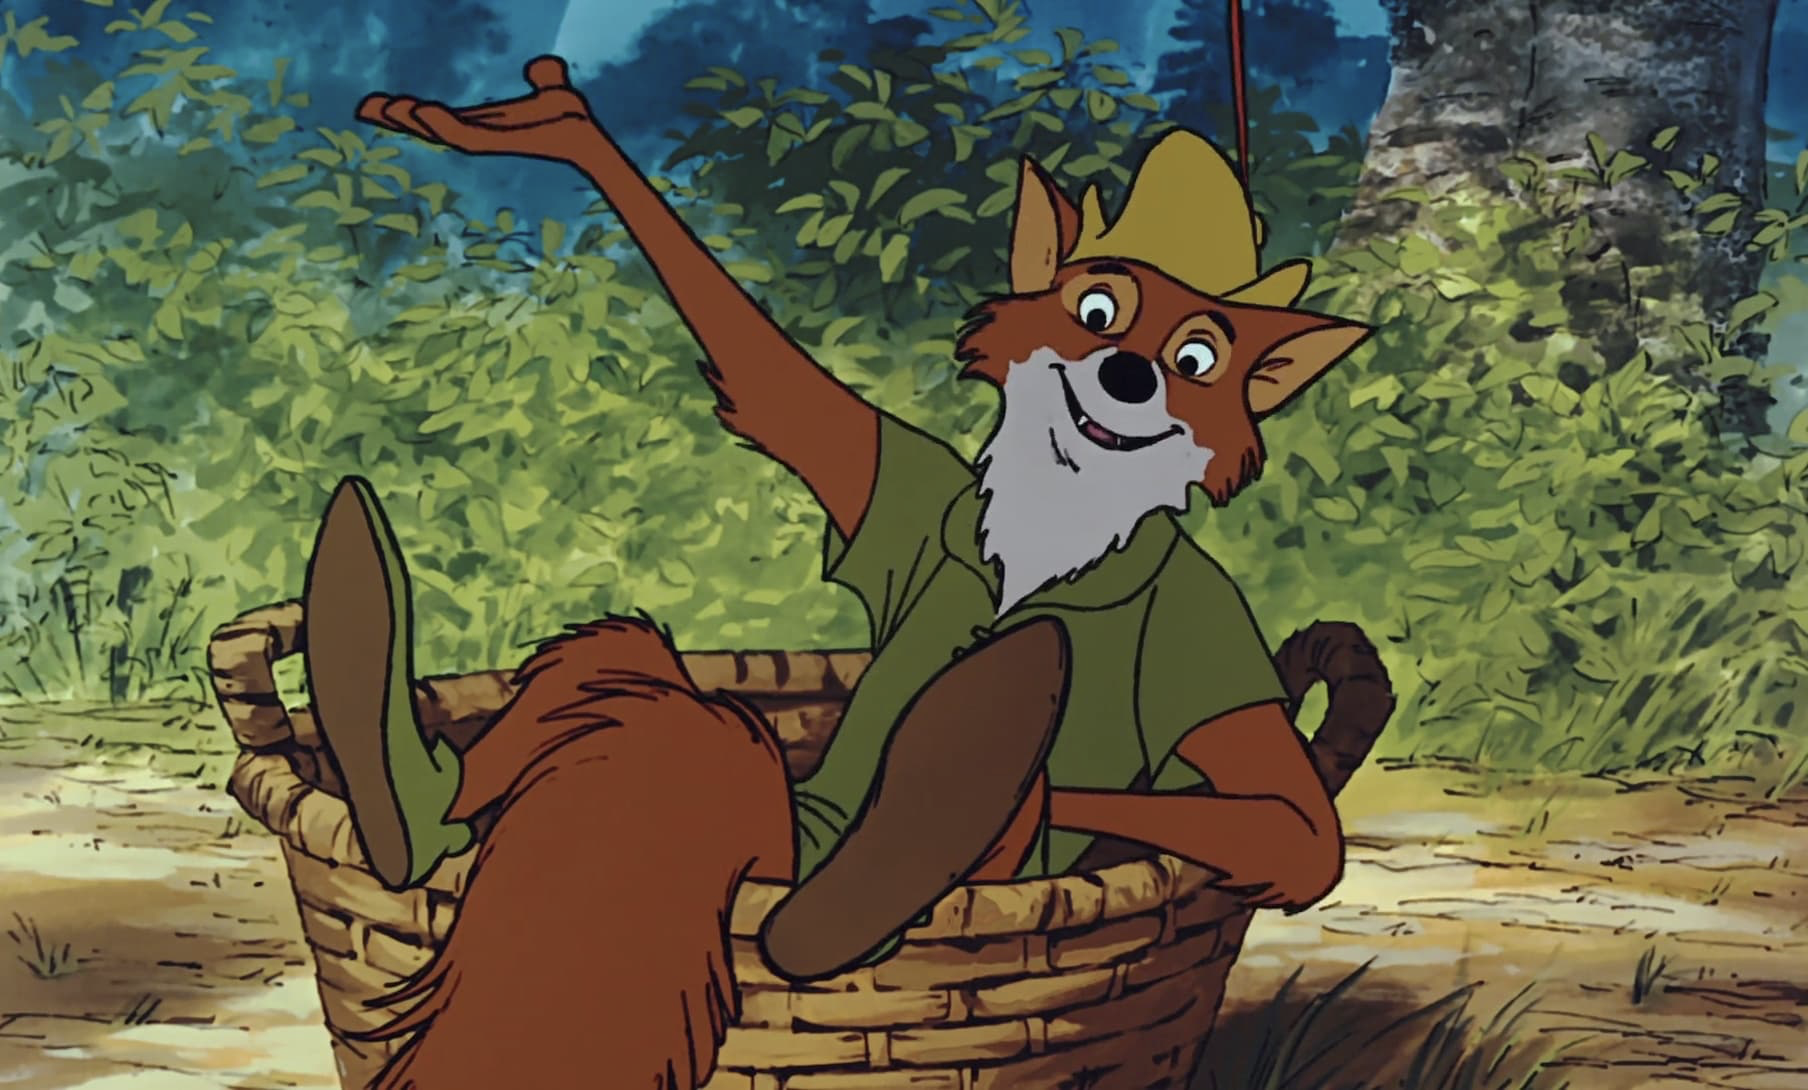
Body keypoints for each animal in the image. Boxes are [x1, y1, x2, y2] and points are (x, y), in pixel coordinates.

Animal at [297, 54, 1396, 1090]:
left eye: (1196, 358)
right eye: (1096, 310)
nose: (1128, 375)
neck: (1053, 542)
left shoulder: (1208, 635)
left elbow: (1297, 832)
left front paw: (1000, 781)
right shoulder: (903, 485)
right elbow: (774, 384)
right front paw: (559, 126)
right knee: (615, 674)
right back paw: (390, 771)